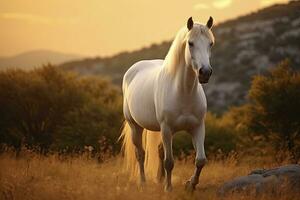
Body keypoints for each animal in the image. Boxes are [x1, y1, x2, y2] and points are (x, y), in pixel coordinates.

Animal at [118, 16, 214, 191]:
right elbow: (169, 162)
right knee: (140, 154)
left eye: (210, 43)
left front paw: (191, 184)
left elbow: (200, 160)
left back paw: (160, 179)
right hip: (135, 126)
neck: (183, 92)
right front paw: (168, 189)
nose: (205, 73)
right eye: (190, 43)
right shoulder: (167, 129)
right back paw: (143, 183)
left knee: (159, 152)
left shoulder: (197, 127)